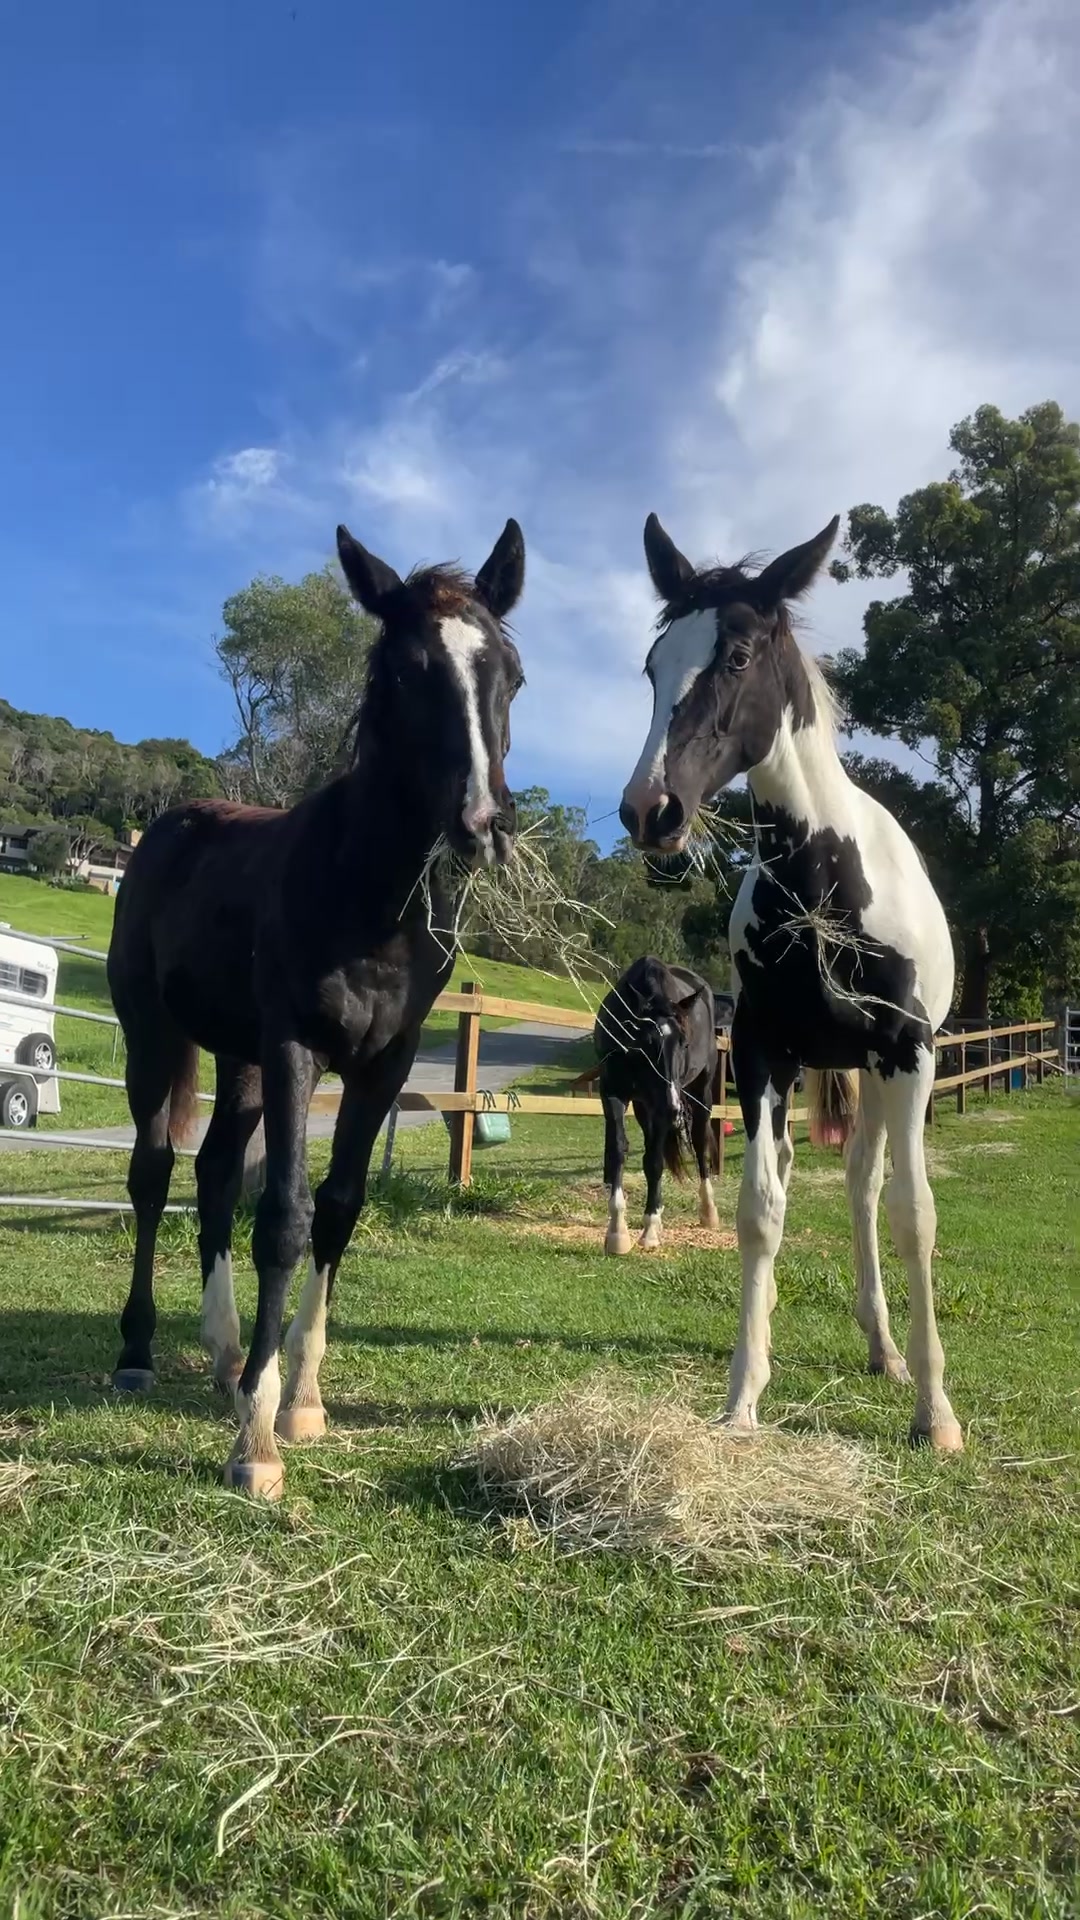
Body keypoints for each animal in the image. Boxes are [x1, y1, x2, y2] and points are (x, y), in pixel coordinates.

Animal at [106, 518, 526, 1497]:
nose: (483, 825)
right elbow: (286, 1216)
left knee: (214, 1172)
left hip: (239, 1058)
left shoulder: (385, 1062)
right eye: (405, 673)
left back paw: (226, 1356)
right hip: (155, 1035)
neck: (367, 898)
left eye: (513, 673)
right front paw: (256, 1442)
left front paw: (296, 1398)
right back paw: (142, 1352)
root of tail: (171, 827)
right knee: (154, 1173)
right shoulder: (297, 1048)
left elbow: (337, 1208)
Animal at [594, 956, 722, 1254]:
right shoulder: (612, 1093)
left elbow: (654, 1161)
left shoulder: (662, 1109)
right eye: (646, 1043)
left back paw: (708, 1211)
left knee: (700, 1144)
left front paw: (650, 1228)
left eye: (684, 1043)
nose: (672, 1107)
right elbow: (617, 1151)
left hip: (700, 1095)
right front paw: (617, 1232)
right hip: (645, 1105)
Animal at [618, 513, 963, 1452]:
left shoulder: (909, 1052)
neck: (824, 881)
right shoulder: (764, 1051)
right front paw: (743, 1394)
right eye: (653, 665)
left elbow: (915, 1216)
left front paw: (936, 1413)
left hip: (881, 1076)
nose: (649, 811)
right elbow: (759, 1209)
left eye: (737, 656)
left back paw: (888, 1352)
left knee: (867, 1191)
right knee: (822, 1180)